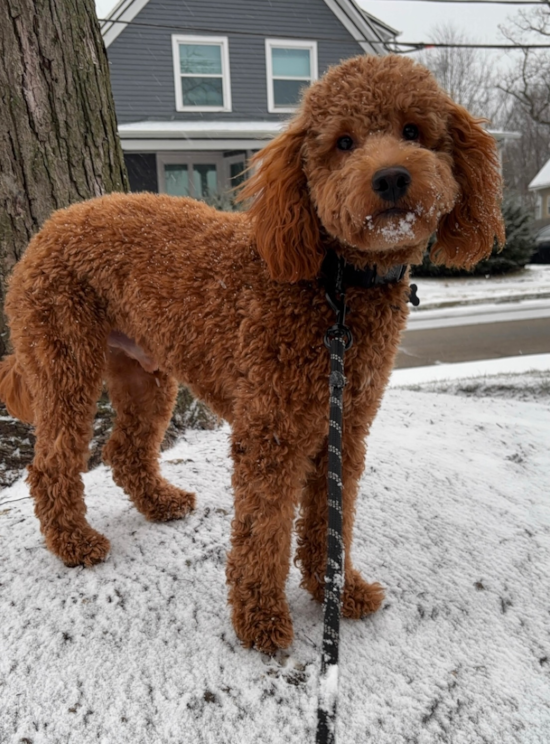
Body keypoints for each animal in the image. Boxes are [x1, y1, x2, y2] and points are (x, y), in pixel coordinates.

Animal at [0, 55, 506, 652]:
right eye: (343, 142)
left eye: (413, 131)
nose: (391, 178)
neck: (334, 283)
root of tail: (46, 230)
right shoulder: (272, 432)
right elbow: (263, 532)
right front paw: (261, 619)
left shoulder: (344, 429)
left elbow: (329, 522)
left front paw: (338, 593)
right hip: (64, 359)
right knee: (50, 463)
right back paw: (75, 543)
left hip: (147, 374)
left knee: (124, 449)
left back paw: (160, 504)